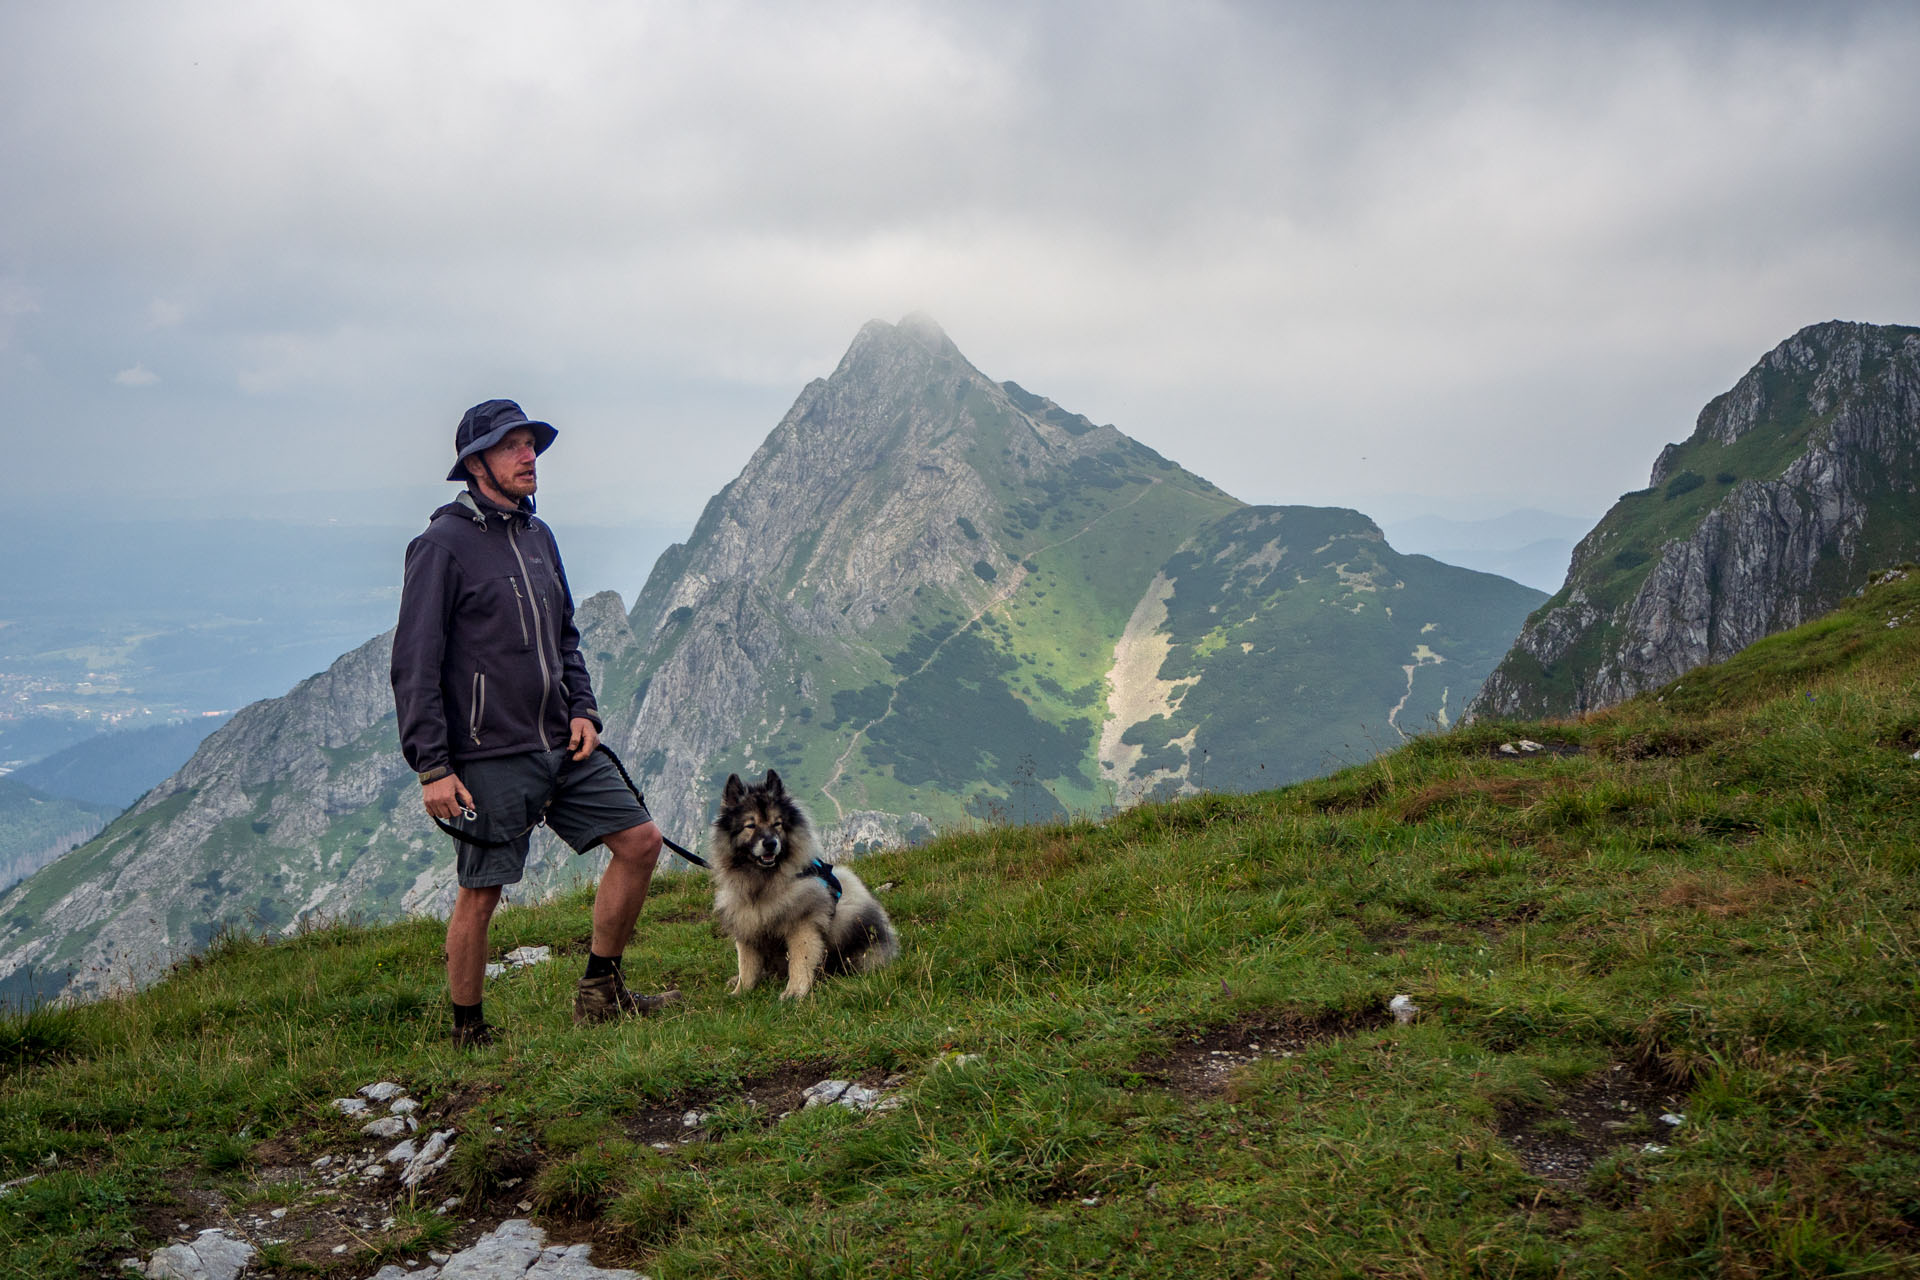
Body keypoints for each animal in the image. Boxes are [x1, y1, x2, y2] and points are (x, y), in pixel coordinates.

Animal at [714, 771, 898, 997]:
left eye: (777, 823)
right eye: (751, 825)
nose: (770, 843)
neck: (764, 884)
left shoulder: (802, 925)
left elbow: (799, 961)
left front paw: (794, 992)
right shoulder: (746, 928)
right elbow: (747, 966)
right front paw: (740, 992)